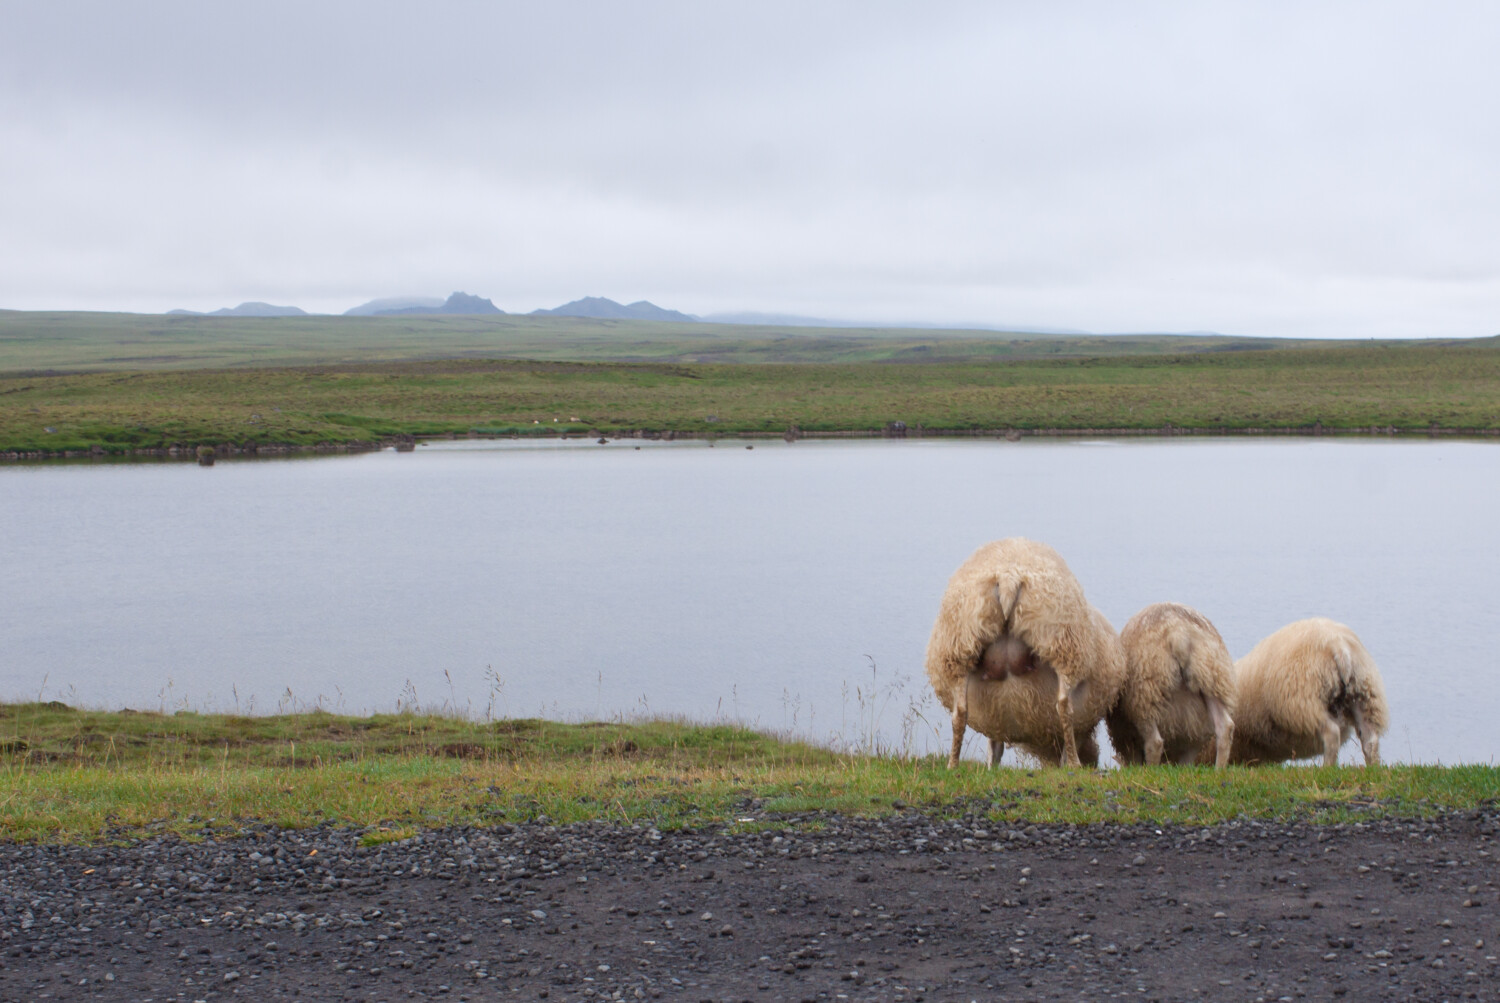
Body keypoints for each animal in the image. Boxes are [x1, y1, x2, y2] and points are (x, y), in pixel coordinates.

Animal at [925, 538, 1125, 768]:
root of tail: (1008, 579)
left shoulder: (995, 717)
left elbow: (994, 747)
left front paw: (991, 768)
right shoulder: (1084, 724)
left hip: (959, 648)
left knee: (959, 713)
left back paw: (953, 765)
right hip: (1064, 645)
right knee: (1063, 705)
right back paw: (1074, 764)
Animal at [1105, 602, 1236, 768]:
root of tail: (1179, 632)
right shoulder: (1192, 737)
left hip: (1145, 695)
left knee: (1155, 742)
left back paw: (1150, 770)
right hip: (1211, 677)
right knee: (1225, 727)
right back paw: (1219, 769)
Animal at [1226, 617, 1388, 766]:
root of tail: (1339, 646)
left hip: (1305, 702)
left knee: (1332, 733)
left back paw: (1327, 768)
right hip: (1364, 693)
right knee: (1370, 739)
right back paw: (1373, 767)